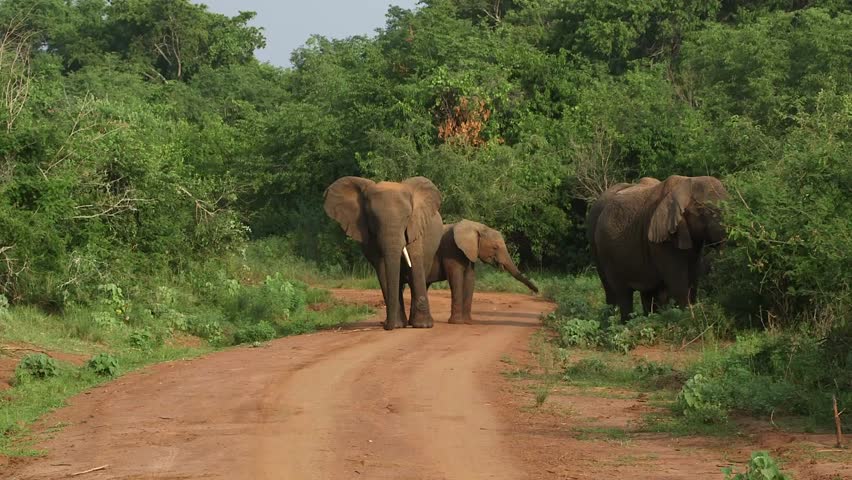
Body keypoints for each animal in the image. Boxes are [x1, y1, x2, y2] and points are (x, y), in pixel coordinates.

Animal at [324, 176, 443, 330]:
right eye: (373, 218)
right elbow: (382, 268)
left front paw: (423, 326)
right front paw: (397, 325)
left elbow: (415, 262)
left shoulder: (415, 228)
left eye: (407, 217)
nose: (385, 325)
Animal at [588, 175, 729, 321]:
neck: (685, 184)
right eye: (702, 211)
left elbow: (693, 280)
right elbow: (678, 284)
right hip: (603, 250)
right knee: (621, 294)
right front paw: (688, 319)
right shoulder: (660, 241)